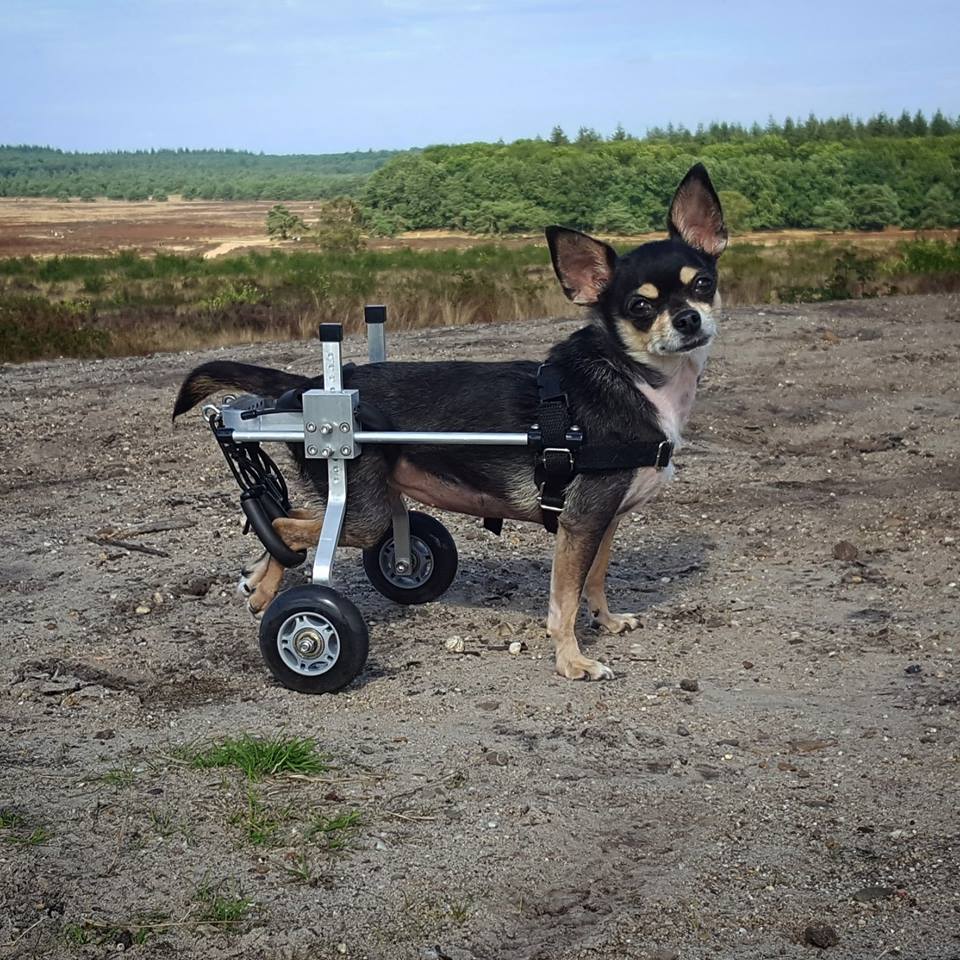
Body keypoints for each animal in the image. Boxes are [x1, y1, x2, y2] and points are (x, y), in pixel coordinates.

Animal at [174, 163, 728, 684]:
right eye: (639, 306)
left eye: (704, 284)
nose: (688, 320)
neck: (632, 377)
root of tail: (315, 383)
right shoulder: (581, 521)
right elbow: (564, 602)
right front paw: (572, 661)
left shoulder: (603, 519)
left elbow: (595, 578)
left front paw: (608, 622)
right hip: (363, 510)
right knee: (283, 526)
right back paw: (269, 587)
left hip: (368, 504)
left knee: (290, 523)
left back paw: (260, 581)